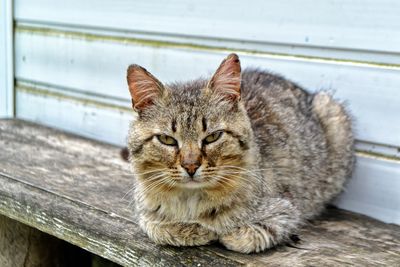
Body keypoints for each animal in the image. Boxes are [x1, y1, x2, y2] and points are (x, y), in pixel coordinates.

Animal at [125, 53, 354, 254]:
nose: (191, 166)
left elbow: (248, 235)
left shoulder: (286, 209)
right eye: (167, 140)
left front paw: (221, 232)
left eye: (213, 136)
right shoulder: (145, 213)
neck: (191, 200)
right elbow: (156, 227)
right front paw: (190, 229)